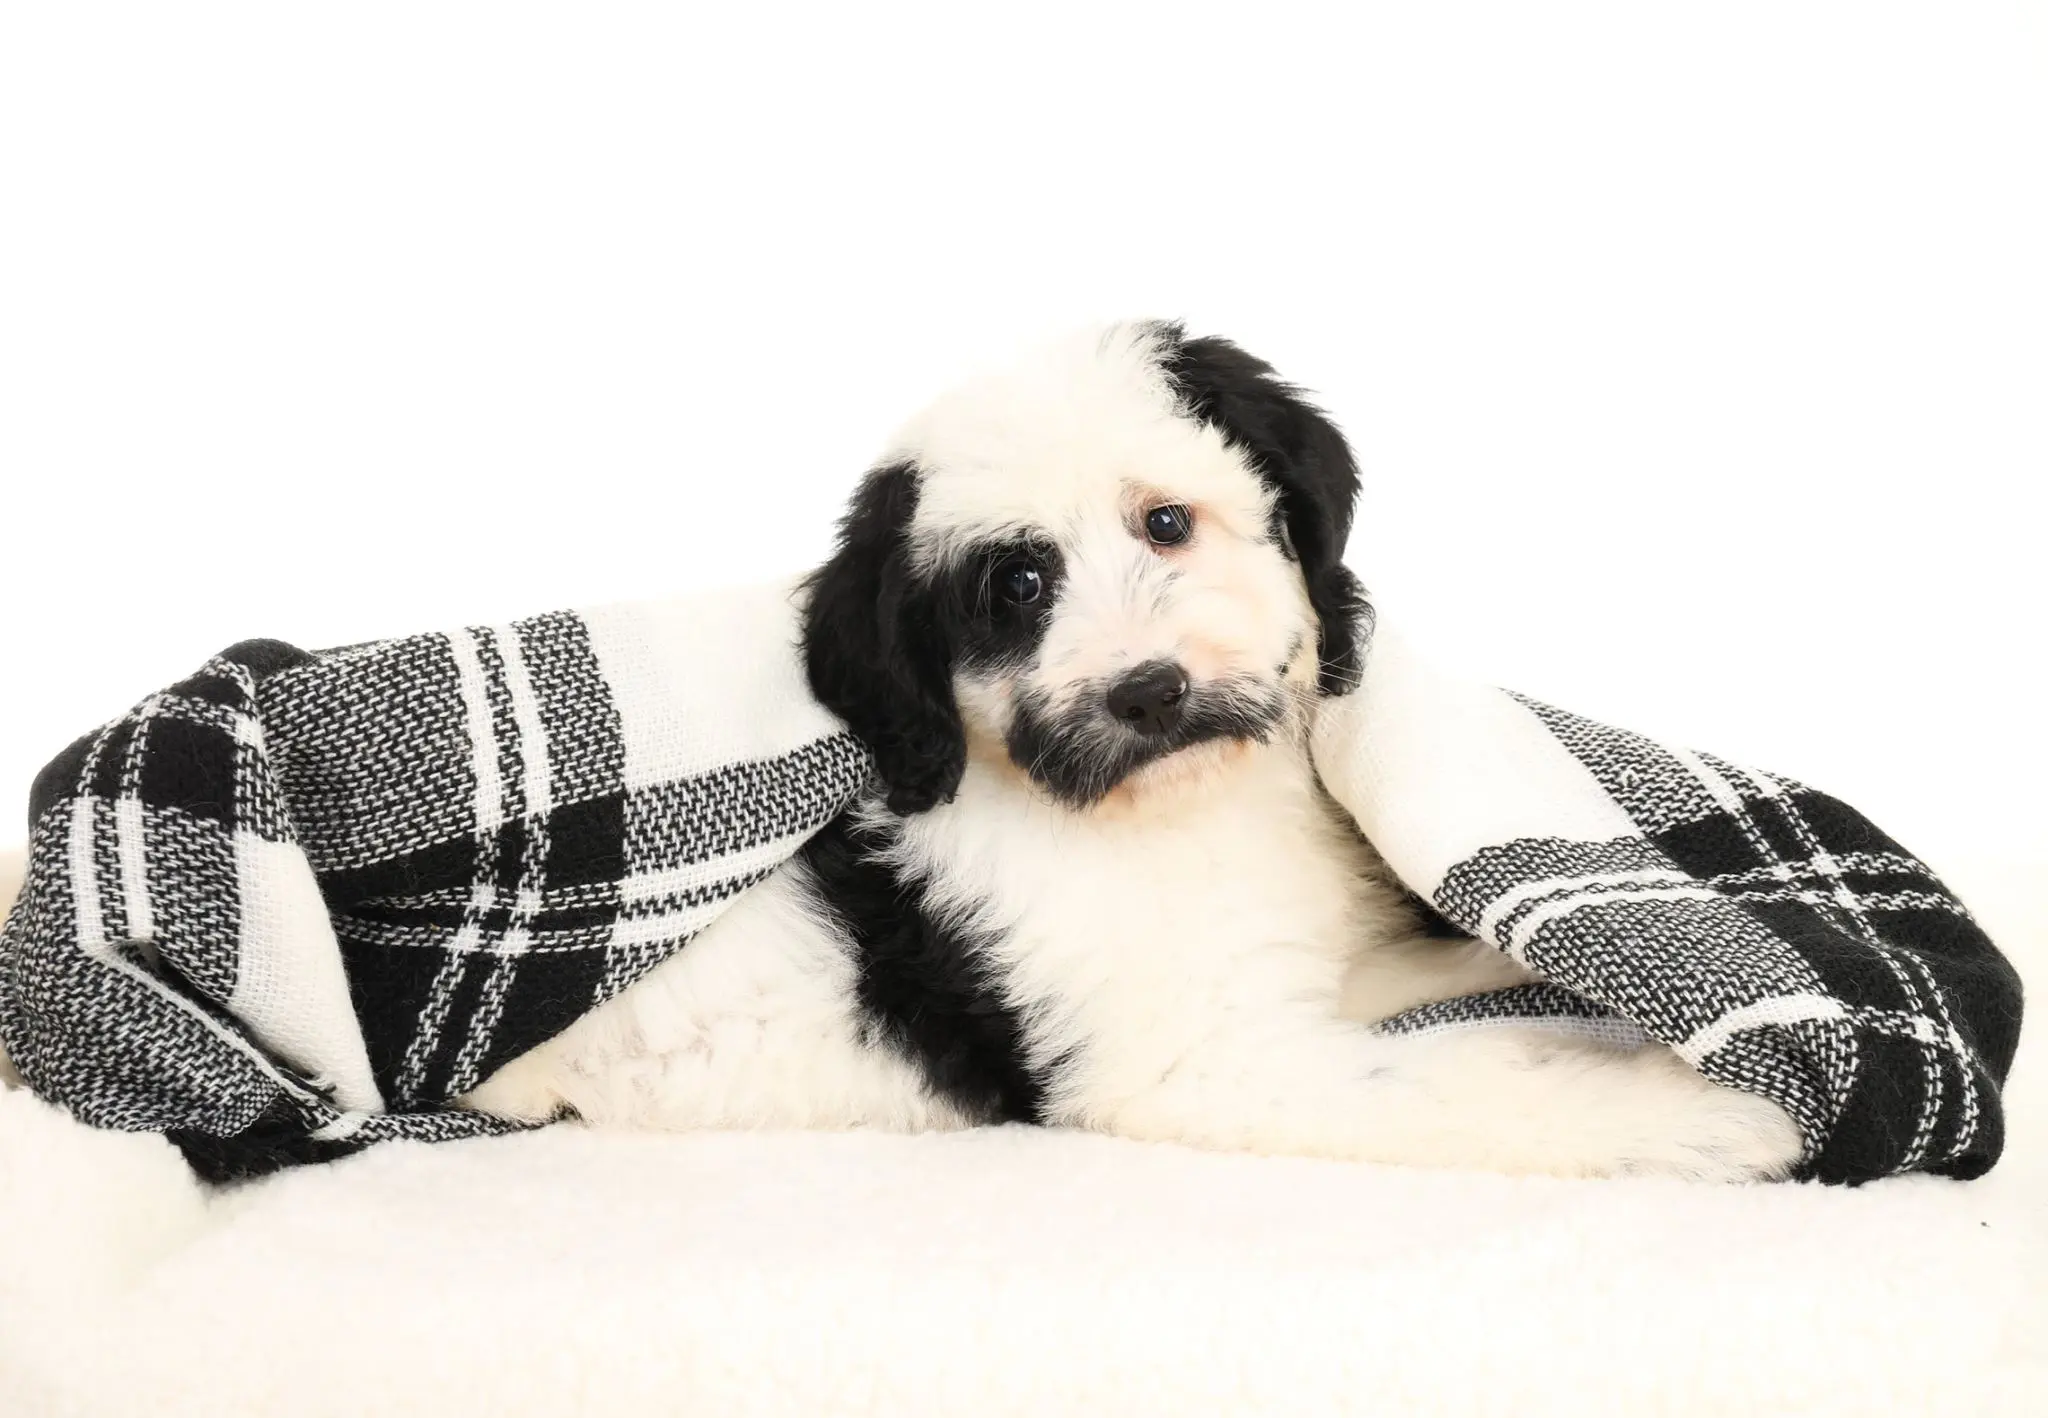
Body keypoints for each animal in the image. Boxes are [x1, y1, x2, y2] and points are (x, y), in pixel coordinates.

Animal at [471, 325, 1802, 1180]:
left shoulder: (1282, 966)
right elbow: (1456, 1086)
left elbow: (1406, 980)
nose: (1147, 690)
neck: (1174, 812)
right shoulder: (1202, 1061)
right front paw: (1707, 1116)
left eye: (1165, 522)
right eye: (1013, 587)